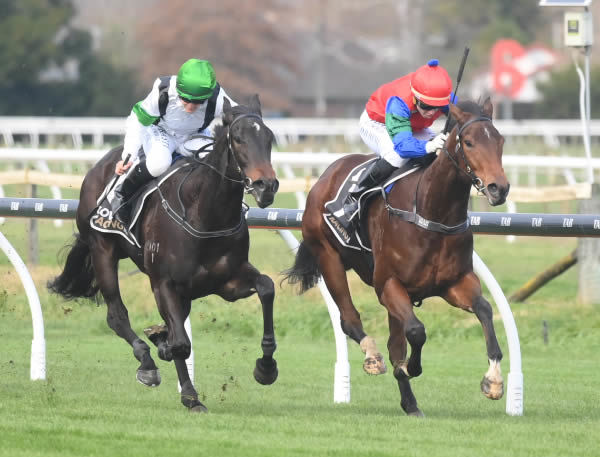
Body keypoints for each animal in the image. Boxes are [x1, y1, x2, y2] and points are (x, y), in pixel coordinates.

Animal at [48, 94, 280, 412]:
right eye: (238, 139)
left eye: (269, 138)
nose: (266, 185)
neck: (205, 214)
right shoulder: (163, 283)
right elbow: (180, 343)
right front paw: (188, 391)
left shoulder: (228, 282)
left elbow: (266, 287)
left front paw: (266, 368)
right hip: (102, 250)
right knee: (116, 316)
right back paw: (148, 363)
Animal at [284, 98, 508, 416]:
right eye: (469, 142)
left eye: (500, 141)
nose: (499, 188)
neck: (431, 212)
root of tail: (326, 175)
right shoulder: (388, 284)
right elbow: (416, 331)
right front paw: (412, 367)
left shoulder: (455, 283)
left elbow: (485, 310)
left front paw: (493, 380)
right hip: (329, 257)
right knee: (350, 320)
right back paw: (372, 356)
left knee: (393, 343)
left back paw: (410, 403)